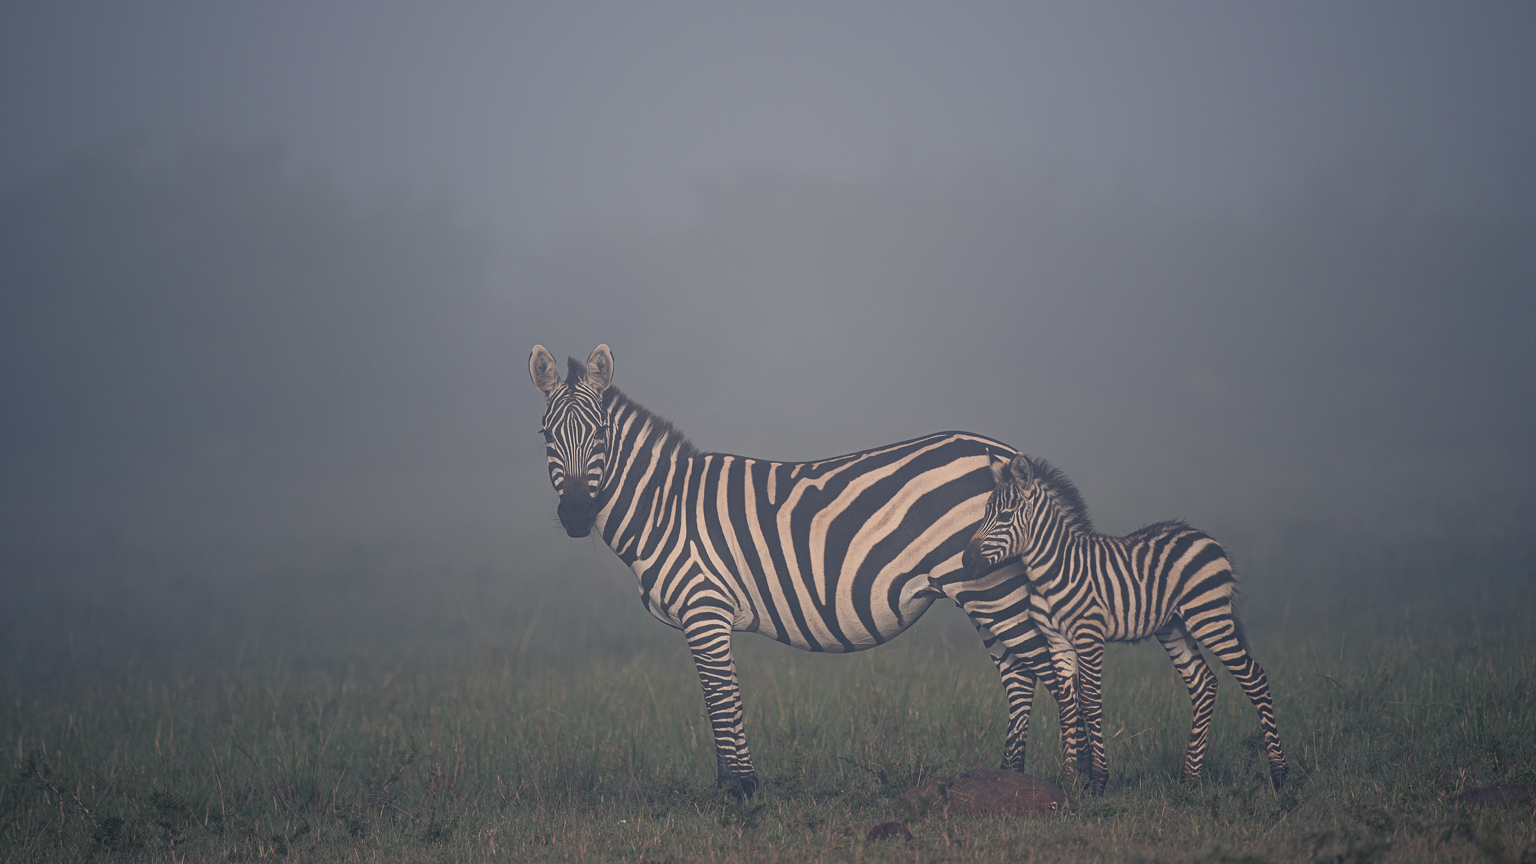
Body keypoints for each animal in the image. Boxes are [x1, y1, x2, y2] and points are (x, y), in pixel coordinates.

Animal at [528, 344, 1084, 797]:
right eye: (546, 435)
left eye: (600, 434)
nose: (575, 514)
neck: (665, 508)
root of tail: (1009, 456)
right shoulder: (707, 615)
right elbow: (726, 697)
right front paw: (740, 784)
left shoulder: (704, 608)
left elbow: (719, 697)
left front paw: (737, 790)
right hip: (985, 588)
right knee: (1020, 675)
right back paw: (1009, 778)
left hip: (994, 591)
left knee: (1056, 671)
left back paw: (1078, 784)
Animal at [963, 452, 1287, 795]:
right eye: (985, 513)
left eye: (1005, 515)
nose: (966, 561)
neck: (1051, 573)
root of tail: (1204, 537)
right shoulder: (1057, 642)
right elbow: (1067, 705)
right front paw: (1068, 779)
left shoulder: (1088, 636)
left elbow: (1090, 701)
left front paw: (1098, 781)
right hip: (1174, 627)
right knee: (1203, 684)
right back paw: (1190, 778)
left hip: (1208, 617)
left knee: (1254, 676)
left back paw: (1279, 774)